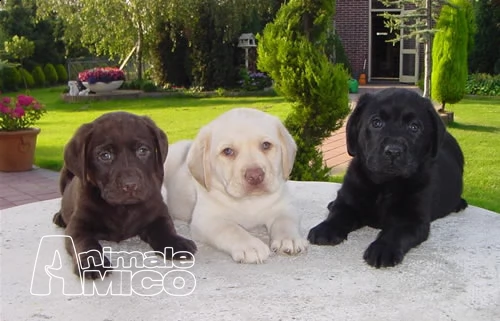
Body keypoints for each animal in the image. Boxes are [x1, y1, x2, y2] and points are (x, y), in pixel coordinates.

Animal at [163, 107, 308, 262]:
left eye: (266, 145)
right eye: (227, 151)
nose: (255, 176)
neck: (250, 201)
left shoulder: (285, 207)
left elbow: (285, 221)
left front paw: (289, 239)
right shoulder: (206, 219)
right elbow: (231, 229)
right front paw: (251, 246)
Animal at [308, 88, 468, 268]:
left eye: (414, 127)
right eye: (376, 123)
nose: (393, 151)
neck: (386, 185)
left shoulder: (411, 219)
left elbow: (396, 233)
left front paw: (383, 249)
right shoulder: (349, 198)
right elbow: (338, 213)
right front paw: (325, 229)